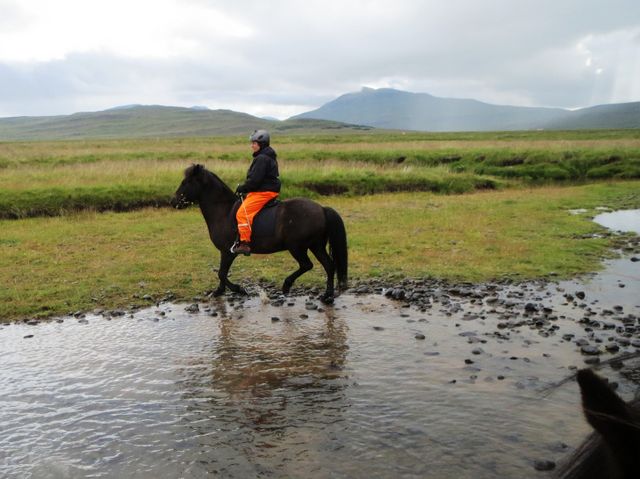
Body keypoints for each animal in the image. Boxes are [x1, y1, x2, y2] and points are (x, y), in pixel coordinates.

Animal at [170, 164, 348, 302]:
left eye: (186, 182)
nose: (173, 202)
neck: (223, 211)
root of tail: (322, 209)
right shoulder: (224, 252)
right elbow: (221, 274)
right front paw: (218, 292)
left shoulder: (228, 252)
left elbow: (221, 273)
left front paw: (239, 289)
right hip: (316, 246)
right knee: (329, 266)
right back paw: (327, 296)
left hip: (297, 247)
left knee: (307, 265)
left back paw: (287, 285)